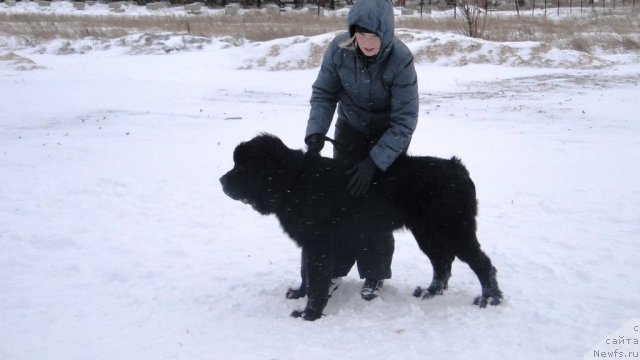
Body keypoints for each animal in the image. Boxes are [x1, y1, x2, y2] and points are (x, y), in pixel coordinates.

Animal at [220, 133, 500, 320]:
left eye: (241, 166)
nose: (221, 180)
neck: (293, 181)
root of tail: (458, 168)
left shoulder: (318, 244)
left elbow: (316, 278)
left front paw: (309, 313)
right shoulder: (309, 243)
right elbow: (305, 272)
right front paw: (299, 293)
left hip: (453, 230)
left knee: (482, 264)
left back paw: (489, 299)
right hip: (427, 233)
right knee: (442, 263)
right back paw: (430, 293)